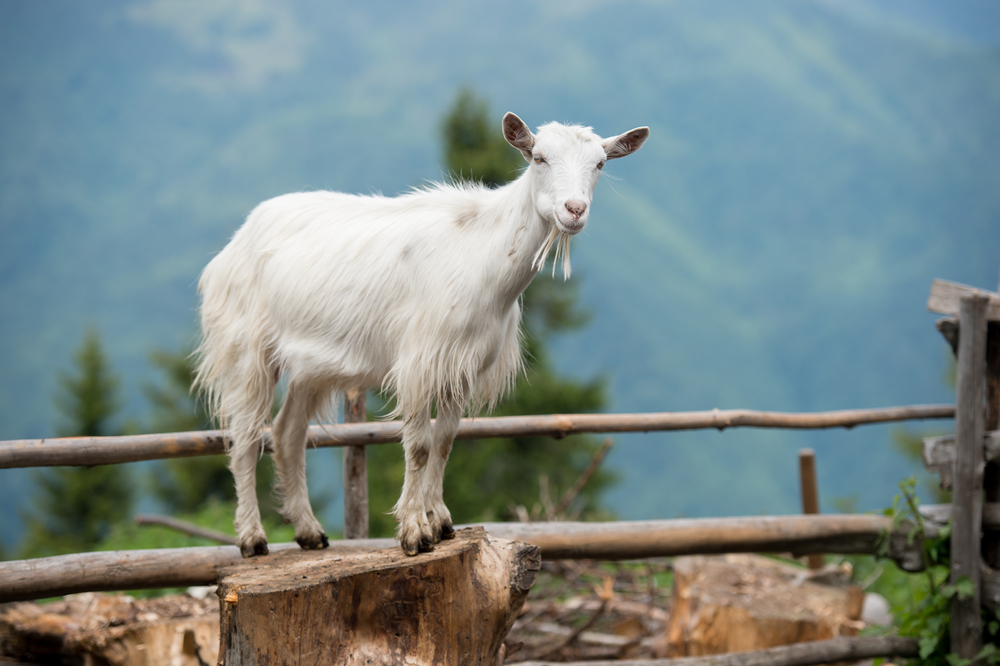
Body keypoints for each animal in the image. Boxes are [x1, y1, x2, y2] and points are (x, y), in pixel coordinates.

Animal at [195, 113, 649, 557]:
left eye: (600, 164)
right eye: (538, 158)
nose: (574, 210)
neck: (483, 253)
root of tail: (235, 242)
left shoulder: (462, 366)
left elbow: (445, 441)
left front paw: (441, 523)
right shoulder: (419, 362)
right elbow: (419, 445)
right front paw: (415, 534)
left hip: (310, 365)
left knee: (287, 433)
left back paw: (309, 532)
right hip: (247, 349)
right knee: (246, 437)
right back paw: (252, 538)